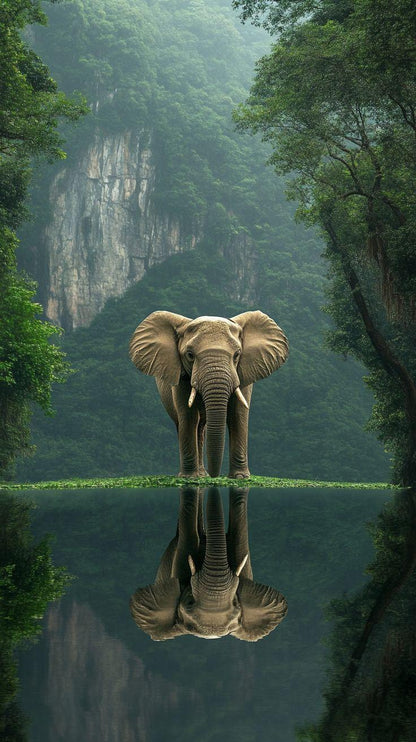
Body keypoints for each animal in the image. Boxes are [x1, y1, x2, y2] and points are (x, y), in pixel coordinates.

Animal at [129, 310, 288, 478]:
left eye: (237, 354)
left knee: (201, 427)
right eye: (190, 355)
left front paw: (240, 477)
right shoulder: (181, 376)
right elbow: (188, 416)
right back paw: (196, 475)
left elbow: (238, 414)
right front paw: (189, 478)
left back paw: (202, 475)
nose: (215, 476)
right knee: (188, 423)